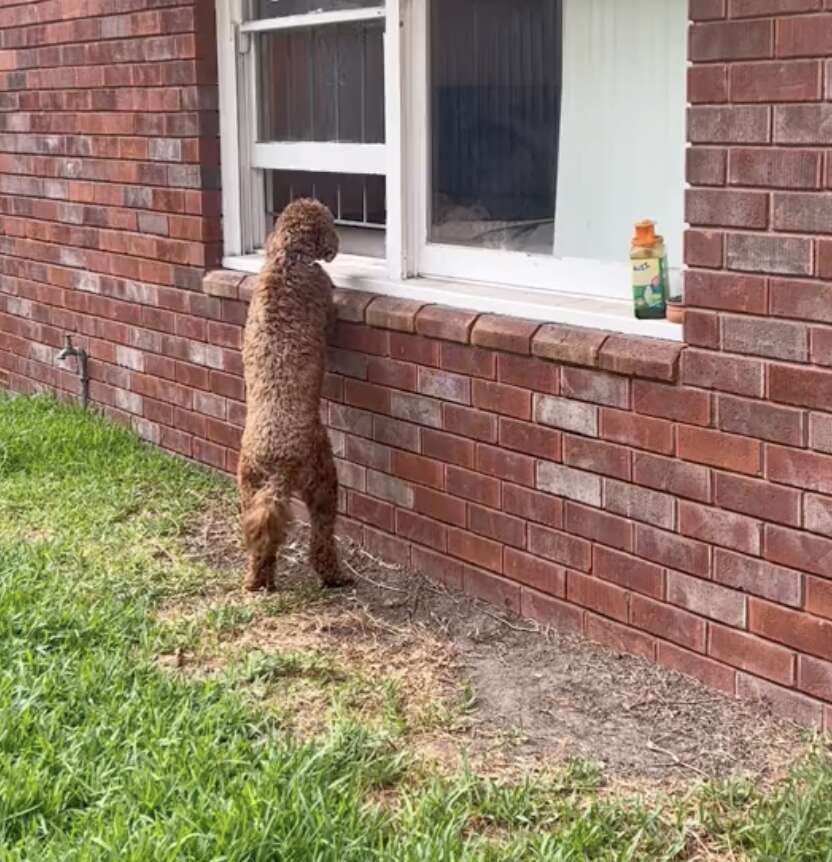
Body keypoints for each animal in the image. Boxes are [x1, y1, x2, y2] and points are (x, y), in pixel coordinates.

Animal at [237, 201, 352, 592]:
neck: (290, 258)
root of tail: (277, 467)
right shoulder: (324, 300)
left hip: (249, 488)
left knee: (261, 546)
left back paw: (258, 581)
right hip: (323, 476)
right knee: (322, 537)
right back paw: (335, 575)